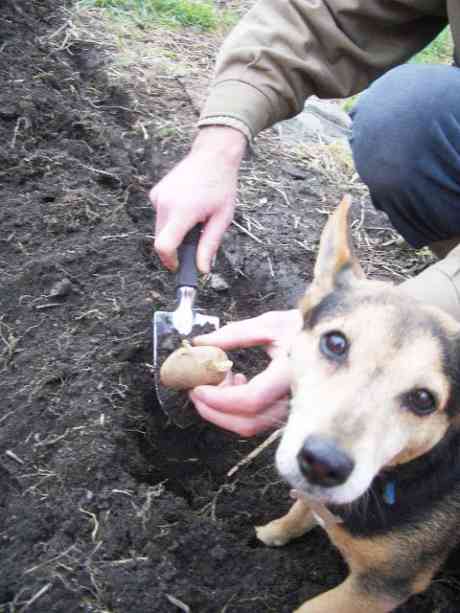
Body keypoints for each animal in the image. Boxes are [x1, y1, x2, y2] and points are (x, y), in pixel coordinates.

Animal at [256, 197, 460, 612]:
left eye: (423, 400)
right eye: (335, 343)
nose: (322, 464)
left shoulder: (381, 586)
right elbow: (302, 507)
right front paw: (278, 530)